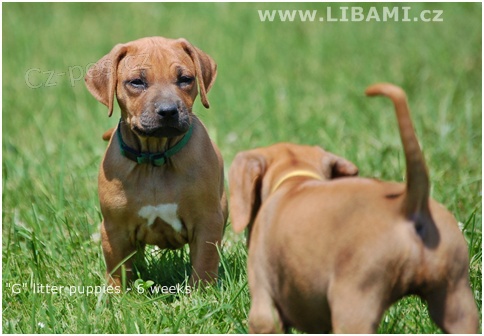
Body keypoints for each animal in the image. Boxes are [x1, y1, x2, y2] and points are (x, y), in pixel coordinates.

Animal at [85, 36, 229, 288]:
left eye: (185, 79)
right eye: (137, 82)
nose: (168, 111)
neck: (155, 159)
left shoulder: (208, 221)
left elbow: (204, 263)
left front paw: (201, 293)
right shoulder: (114, 228)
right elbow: (118, 269)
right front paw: (115, 295)